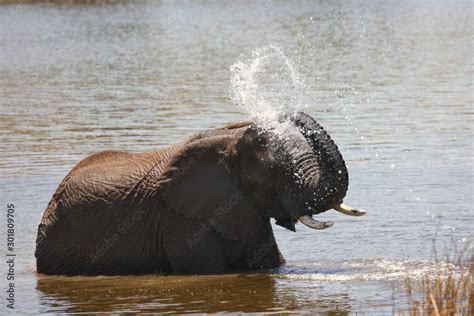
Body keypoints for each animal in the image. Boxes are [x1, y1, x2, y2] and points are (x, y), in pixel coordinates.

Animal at [36, 113, 366, 274]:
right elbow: (206, 270)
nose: (280, 115)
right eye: (275, 172)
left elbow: (273, 263)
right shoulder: (181, 223)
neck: (229, 141)